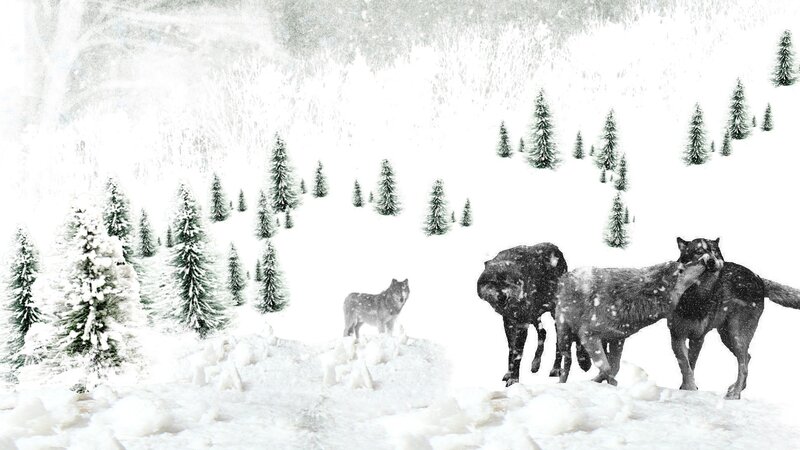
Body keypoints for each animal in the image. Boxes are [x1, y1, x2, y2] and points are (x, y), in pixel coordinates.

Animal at [477, 243, 591, 387]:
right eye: (493, 282)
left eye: (508, 282)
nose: (502, 296)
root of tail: (557, 249)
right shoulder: (508, 321)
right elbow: (511, 349)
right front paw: (509, 373)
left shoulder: (522, 323)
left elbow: (518, 353)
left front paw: (514, 379)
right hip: (534, 315)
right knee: (543, 332)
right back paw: (536, 364)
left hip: (553, 315)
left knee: (558, 341)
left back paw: (556, 368)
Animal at [555, 247, 718, 386]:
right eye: (681, 270)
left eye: (683, 264)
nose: (704, 260)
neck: (632, 298)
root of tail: (566, 275)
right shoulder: (588, 335)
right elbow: (606, 368)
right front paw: (602, 383)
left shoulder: (618, 339)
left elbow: (614, 367)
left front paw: (605, 383)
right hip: (564, 336)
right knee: (566, 363)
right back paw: (561, 383)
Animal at [670, 237, 800, 399]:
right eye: (699, 251)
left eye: (715, 252)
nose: (712, 261)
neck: (694, 296)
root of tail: (758, 278)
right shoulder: (677, 335)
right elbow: (685, 364)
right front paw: (686, 388)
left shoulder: (698, 338)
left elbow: (691, 363)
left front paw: (689, 389)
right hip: (727, 336)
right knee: (748, 357)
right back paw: (735, 389)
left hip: (735, 335)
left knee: (743, 364)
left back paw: (735, 394)